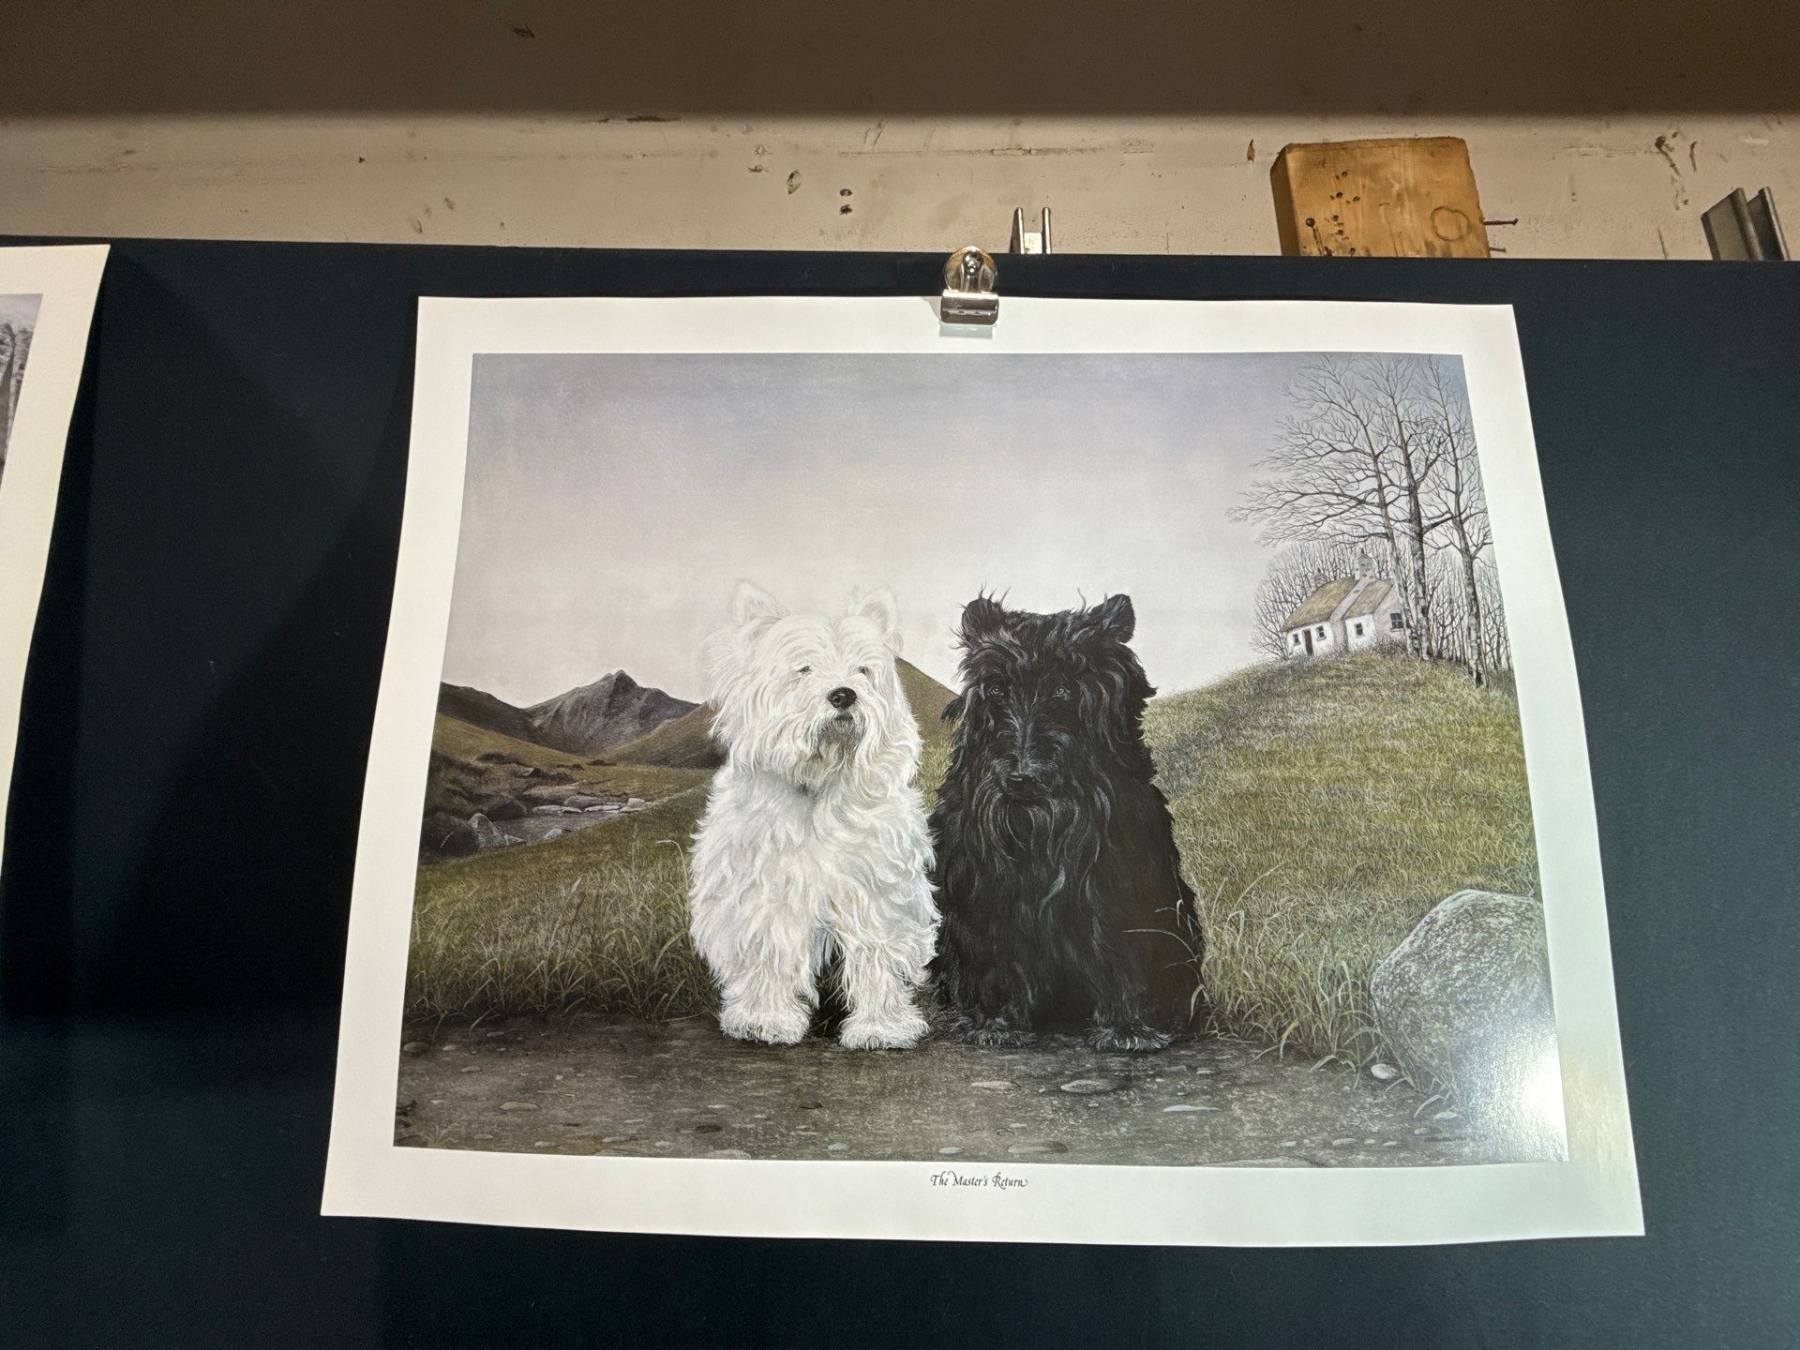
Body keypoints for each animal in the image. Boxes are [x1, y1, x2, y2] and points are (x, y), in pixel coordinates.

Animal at [688, 581, 938, 1049]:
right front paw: (765, 1019)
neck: (819, 786)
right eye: (804, 669)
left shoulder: (873, 892)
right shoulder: (767, 893)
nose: (843, 694)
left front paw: (881, 1027)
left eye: (863, 670)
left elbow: (876, 954)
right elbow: (770, 950)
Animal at [929, 593, 1200, 1051]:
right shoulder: (981, 890)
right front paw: (995, 1022)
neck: (1039, 829)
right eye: (996, 689)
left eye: (1063, 688)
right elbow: (992, 953)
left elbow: (1123, 949)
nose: (1021, 779)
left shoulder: (1119, 887)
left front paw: (1129, 1027)